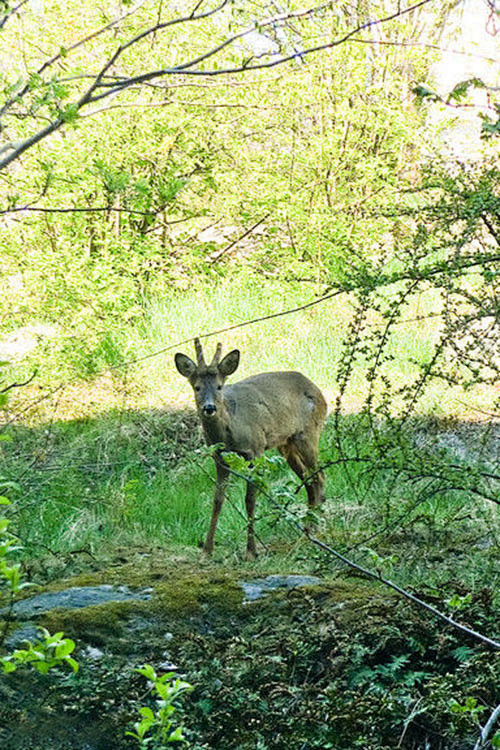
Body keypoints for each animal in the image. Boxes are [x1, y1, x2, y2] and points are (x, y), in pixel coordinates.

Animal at [174, 340, 326, 560]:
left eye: (219, 386)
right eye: (197, 387)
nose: (209, 408)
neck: (230, 432)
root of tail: (319, 392)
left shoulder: (256, 450)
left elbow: (250, 499)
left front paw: (251, 552)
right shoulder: (219, 458)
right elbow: (217, 500)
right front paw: (206, 550)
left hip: (308, 433)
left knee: (319, 476)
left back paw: (316, 529)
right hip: (286, 444)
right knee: (309, 481)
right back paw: (307, 529)